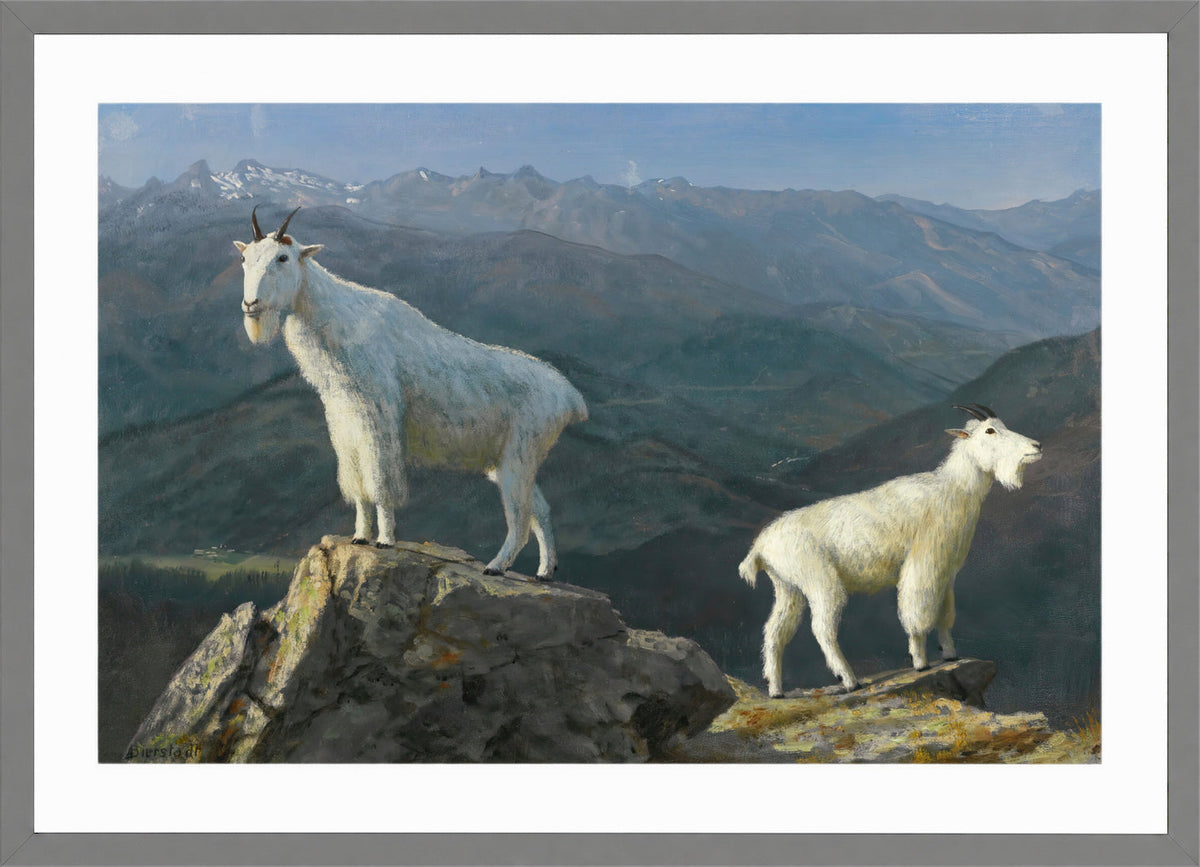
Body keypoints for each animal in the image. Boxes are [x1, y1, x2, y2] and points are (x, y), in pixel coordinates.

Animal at [234, 206, 588, 579]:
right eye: (244, 258)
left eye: (283, 257)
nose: (251, 304)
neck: (340, 324)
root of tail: (571, 398)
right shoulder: (344, 424)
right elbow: (357, 483)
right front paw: (359, 536)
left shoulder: (380, 416)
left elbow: (380, 480)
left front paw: (385, 540)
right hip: (509, 459)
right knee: (541, 509)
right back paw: (544, 572)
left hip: (520, 454)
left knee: (519, 517)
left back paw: (495, 566)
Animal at [738, 404, 1041, 697]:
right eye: (990, 430)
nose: (1036, 446)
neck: (954, 490)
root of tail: (761, 547)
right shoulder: (923, 562)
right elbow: (917, 614)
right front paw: (920, 663)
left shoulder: (947, 571)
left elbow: (946, 614)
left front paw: (950, 655)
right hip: (820, 582)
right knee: (822, 629)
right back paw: (850, 681)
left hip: (788, 587)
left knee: (774, 633)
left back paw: (776, 690)